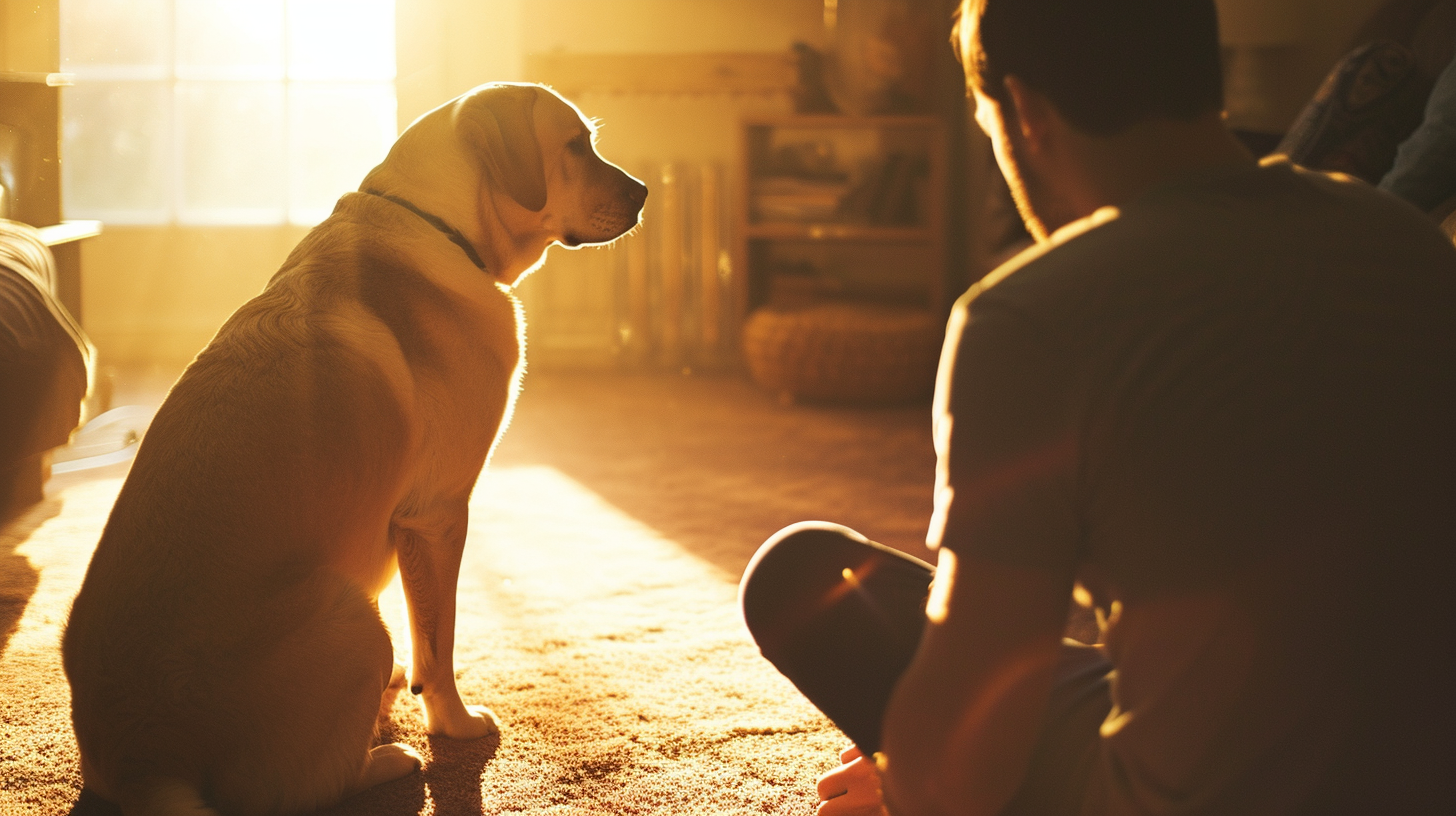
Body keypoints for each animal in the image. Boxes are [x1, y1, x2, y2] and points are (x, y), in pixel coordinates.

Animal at [62, 83, 643, 816]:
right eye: (575, 145)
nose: (645, 192)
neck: (441, 223)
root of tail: (144, 762)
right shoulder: (438, 512)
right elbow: (438, 642)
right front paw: (454, 726)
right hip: (358, 616)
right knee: (294, 790)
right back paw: (388, 758)